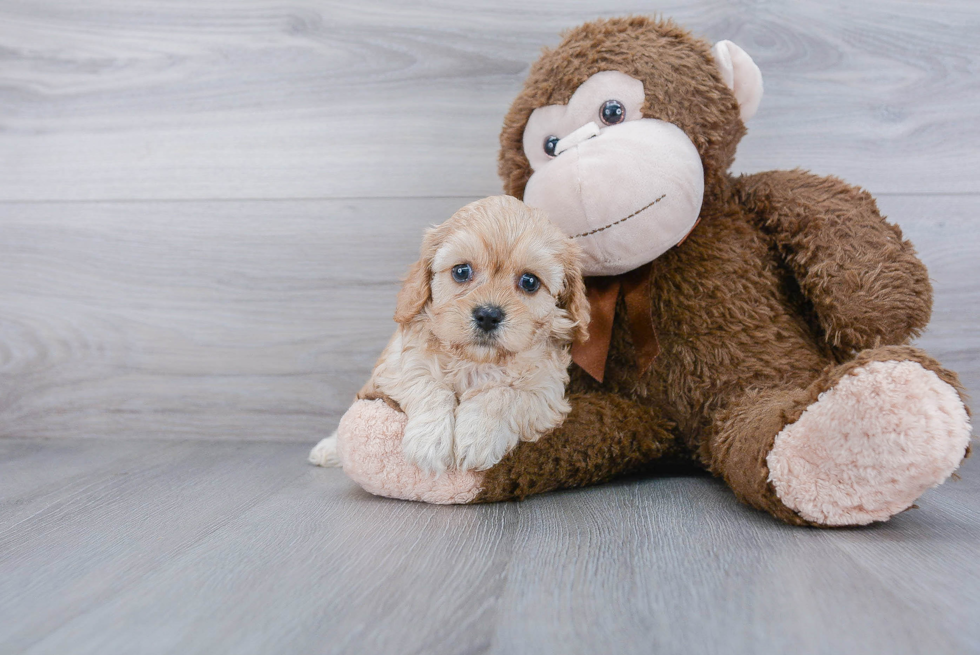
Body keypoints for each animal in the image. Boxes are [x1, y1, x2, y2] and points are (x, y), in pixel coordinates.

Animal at [314, 197, 588, 474]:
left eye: (530, 282)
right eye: (461, 271)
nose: (488, 315)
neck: (477, 362)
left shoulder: (547, 393)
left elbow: (503, 394)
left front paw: (478, 437)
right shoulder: (396, 367)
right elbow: (427, 384)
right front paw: (429, 442)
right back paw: (328, 449)